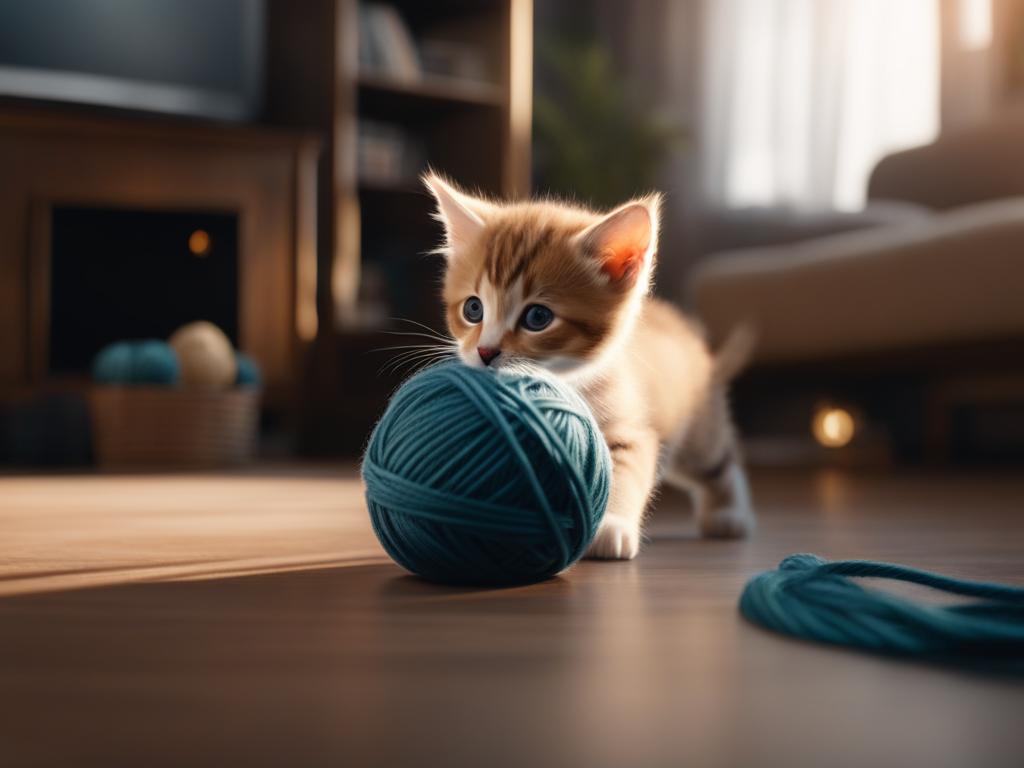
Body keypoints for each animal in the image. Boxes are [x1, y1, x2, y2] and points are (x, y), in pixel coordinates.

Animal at [421, 174, 753, 561]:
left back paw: (729, 513)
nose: (485, 351)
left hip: (696, 430)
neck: (567, 380)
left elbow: (623, 472)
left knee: (720, 461)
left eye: (537, 317)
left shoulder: (632, 429)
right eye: (473, 309)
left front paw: (611, 526)